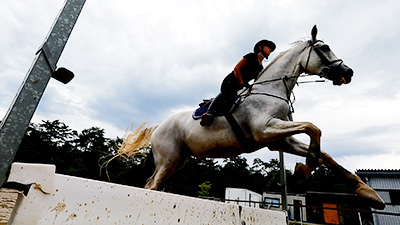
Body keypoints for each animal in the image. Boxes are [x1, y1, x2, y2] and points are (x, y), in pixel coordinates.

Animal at [120, 25, 386, 209]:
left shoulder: (279, 139)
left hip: (177, 161)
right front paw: (306, 166)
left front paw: (368, 193)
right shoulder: (265, 131)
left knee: (151, 184)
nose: (348, 72)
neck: (273, 89)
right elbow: (313, 128)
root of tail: (158, 126)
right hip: (169, 159)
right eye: (324, 48)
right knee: (153, 185)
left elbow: (326, 153)